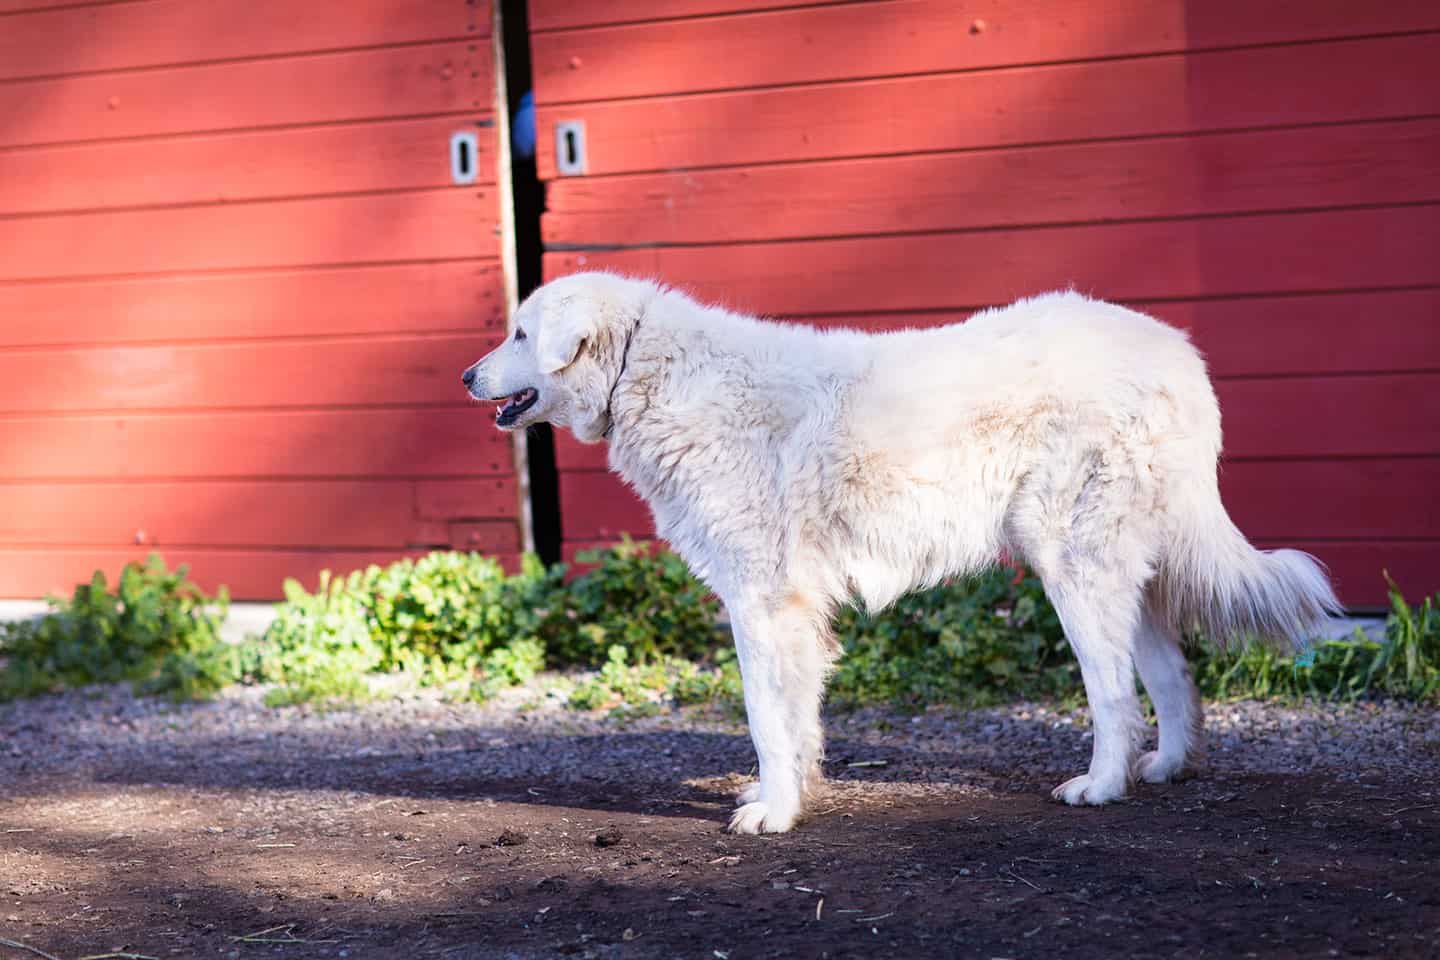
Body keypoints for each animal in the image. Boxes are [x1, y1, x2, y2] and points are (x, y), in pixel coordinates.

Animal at [466, 270, 1342, 834]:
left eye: (520, 333)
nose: (468, 376)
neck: (651, 375)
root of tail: (1175, 352)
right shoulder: (792, 613)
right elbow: (796, 720)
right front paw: (798, 794)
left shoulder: (760, 602)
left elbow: (762, 716)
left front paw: (773, 813)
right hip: (1118, 563)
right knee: (1169, 672)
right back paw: (1163, 768)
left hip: (1067, 560)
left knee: (1114, 692)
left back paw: (1101, 785)